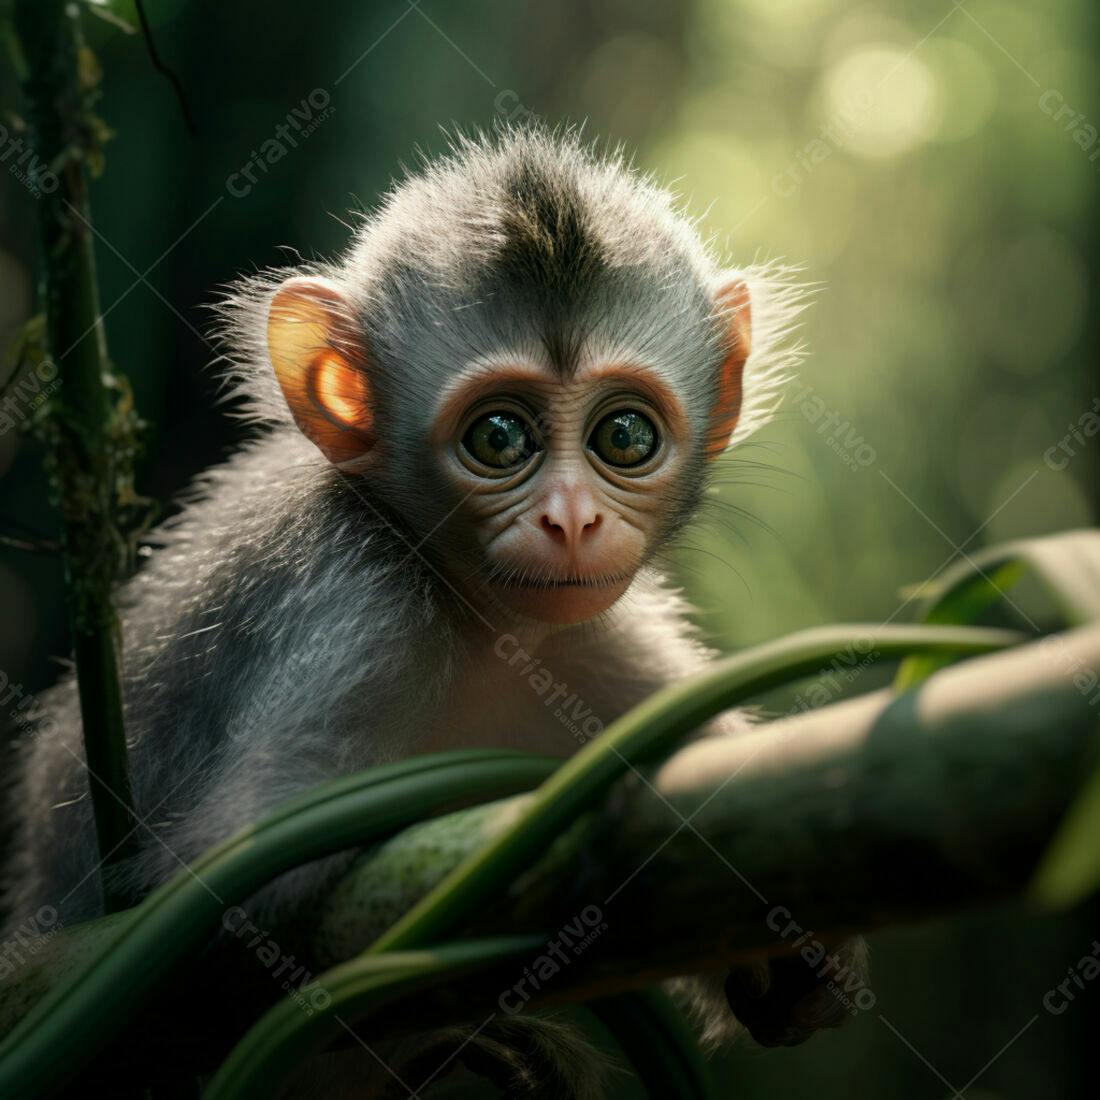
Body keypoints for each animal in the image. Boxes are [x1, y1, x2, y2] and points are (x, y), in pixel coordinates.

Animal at [1, 125, 866, 1095]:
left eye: (624, 436)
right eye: (498, 437)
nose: (572, 519)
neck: (471, 619)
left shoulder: (582, 641)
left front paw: (799, 965)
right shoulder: (357, 609)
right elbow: (238, 885)